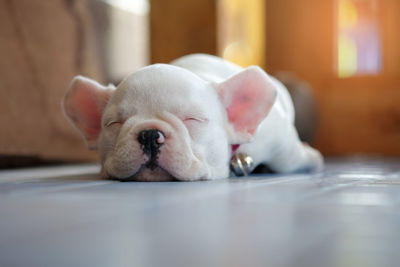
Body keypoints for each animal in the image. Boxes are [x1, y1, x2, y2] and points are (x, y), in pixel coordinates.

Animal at [63, 54, 324, 182]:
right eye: (113, 124)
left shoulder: (281, 146)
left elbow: (300, 157)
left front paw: (313, 156)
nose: (149, 135)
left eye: (193, 120)